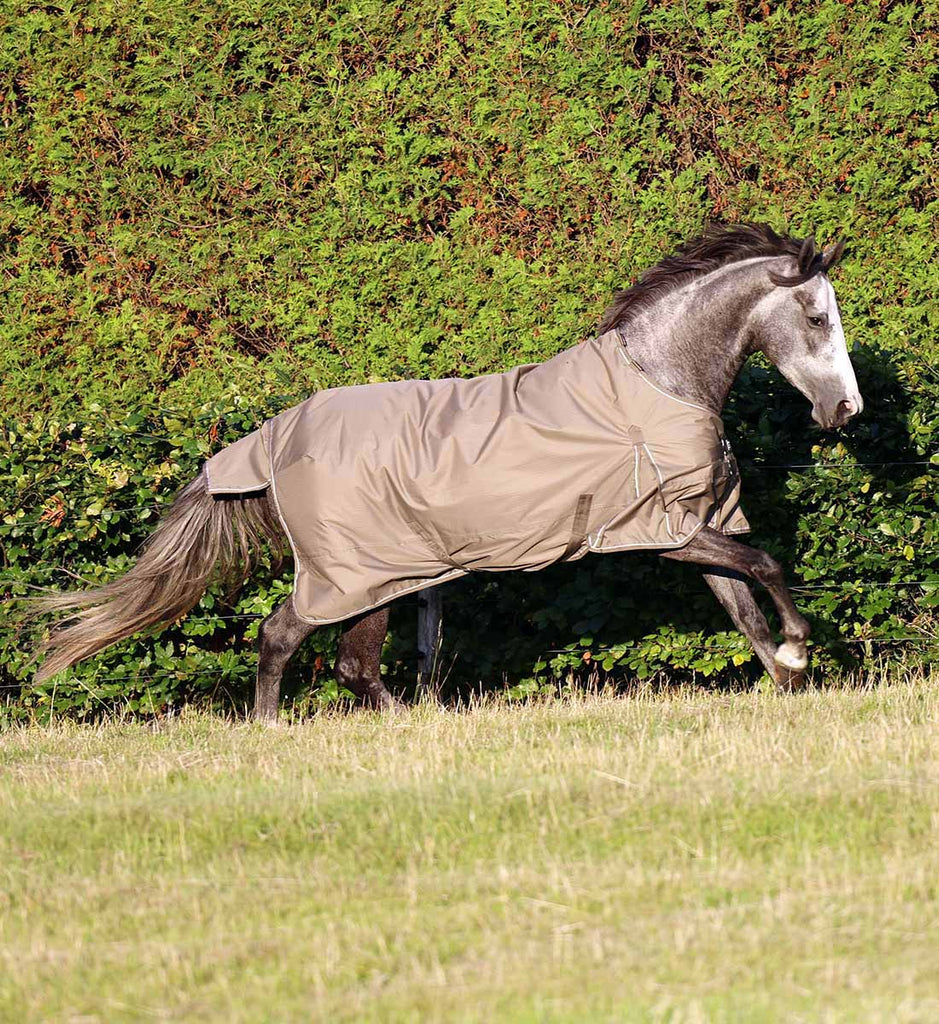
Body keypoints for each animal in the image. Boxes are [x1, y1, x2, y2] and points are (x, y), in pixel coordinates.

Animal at [33, 224, 860, 720]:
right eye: (817, 318)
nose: (843, 409)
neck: (660, 382)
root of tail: (270, 439)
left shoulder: (697, 527)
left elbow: (742, 604)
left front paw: (787, 680)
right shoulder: (660, 532)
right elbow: (768, 567)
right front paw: (799, 649)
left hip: (388, 577)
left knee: (351, 666)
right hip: (354, 574)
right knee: (284, 636)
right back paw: (273, 731)